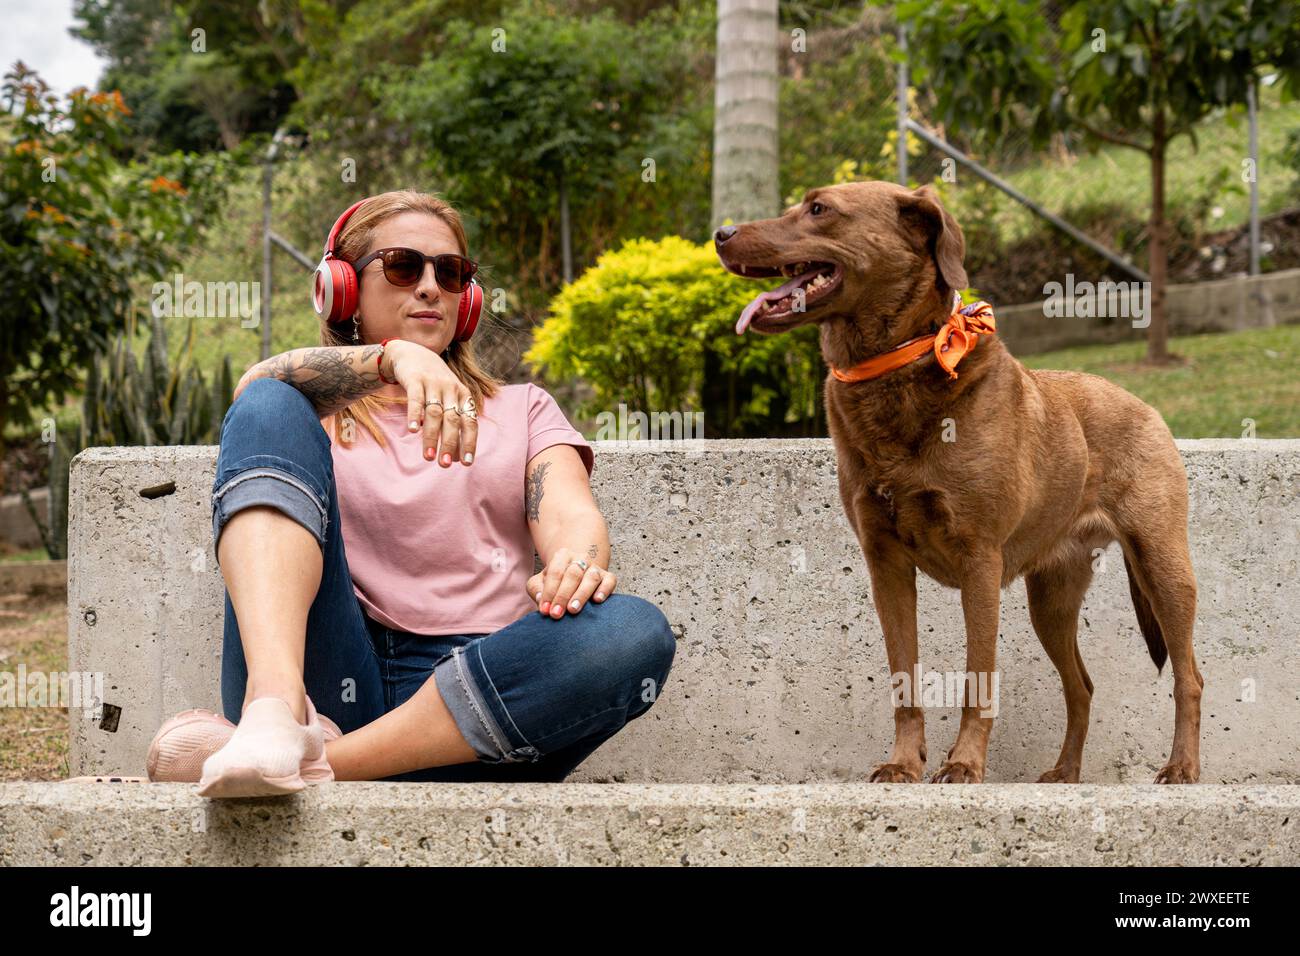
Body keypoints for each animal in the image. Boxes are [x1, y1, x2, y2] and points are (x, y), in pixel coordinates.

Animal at [717, 180, 1201, 785]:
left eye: (819, 209)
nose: (721, 233)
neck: (895, 366)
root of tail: (1146, 406)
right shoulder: (885, 564)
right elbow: (904, 679)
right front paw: (904, 764)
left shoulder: (980, 559)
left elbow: (979, 679)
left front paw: (965, 764)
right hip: (1051, 598)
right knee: (1082, 686)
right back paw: (1065, 772)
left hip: (1162, 565)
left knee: (1189, 676)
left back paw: (1181, 767)